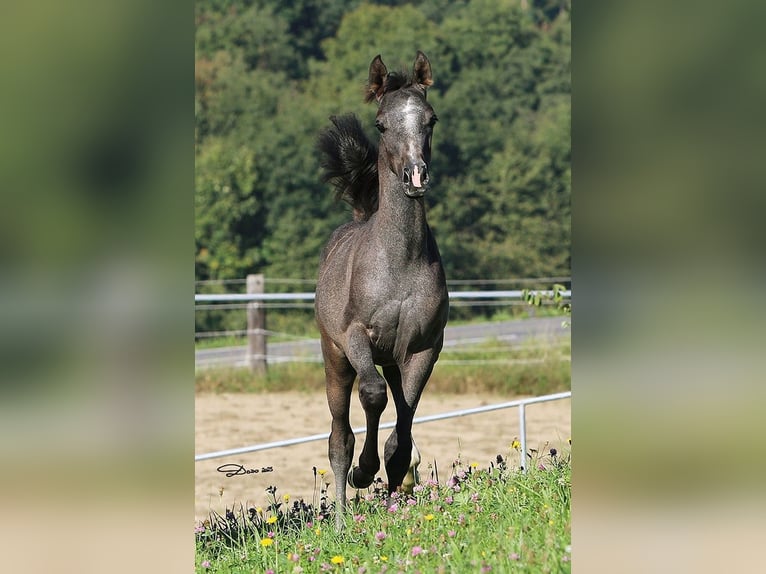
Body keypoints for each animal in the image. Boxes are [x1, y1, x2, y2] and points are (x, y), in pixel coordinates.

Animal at [315, 51, 449, 529]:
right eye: (380, 124)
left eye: (430, 119)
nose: (415, 176)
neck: (399, 263)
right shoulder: (357, 338)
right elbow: (372, 397)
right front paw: (364, 471)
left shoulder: (424, 347)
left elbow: (404, 423)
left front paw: (393, 485)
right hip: (335, 358)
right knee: (340, 434)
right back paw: (340, 514)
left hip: (392, 358)